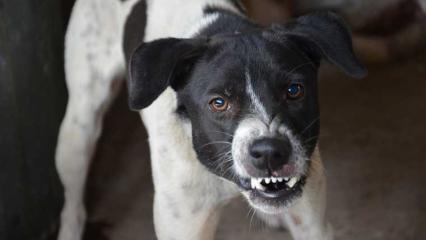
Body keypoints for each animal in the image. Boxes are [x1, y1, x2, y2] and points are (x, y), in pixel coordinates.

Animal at [55, 0, 364, 240]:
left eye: (294, 90)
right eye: (218, 102)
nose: (269, 152)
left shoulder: (312, 224)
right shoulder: (184, 226)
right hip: (79, 128)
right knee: (73, 204)